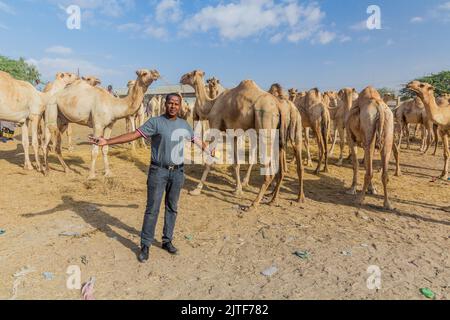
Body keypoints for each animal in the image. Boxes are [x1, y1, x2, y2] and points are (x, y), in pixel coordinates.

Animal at [181, 70, 300, 209]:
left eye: (189, 74)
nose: (181, 78)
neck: (212, 104)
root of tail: (278, 106)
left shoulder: (215, 125)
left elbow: (210, 160)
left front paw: (197, 189)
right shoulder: (233, 134)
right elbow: (236, 163)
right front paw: (237, 190)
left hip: (265, 125)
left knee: (268, 169)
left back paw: (254, 203)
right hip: (277, 134)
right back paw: (271, 199)